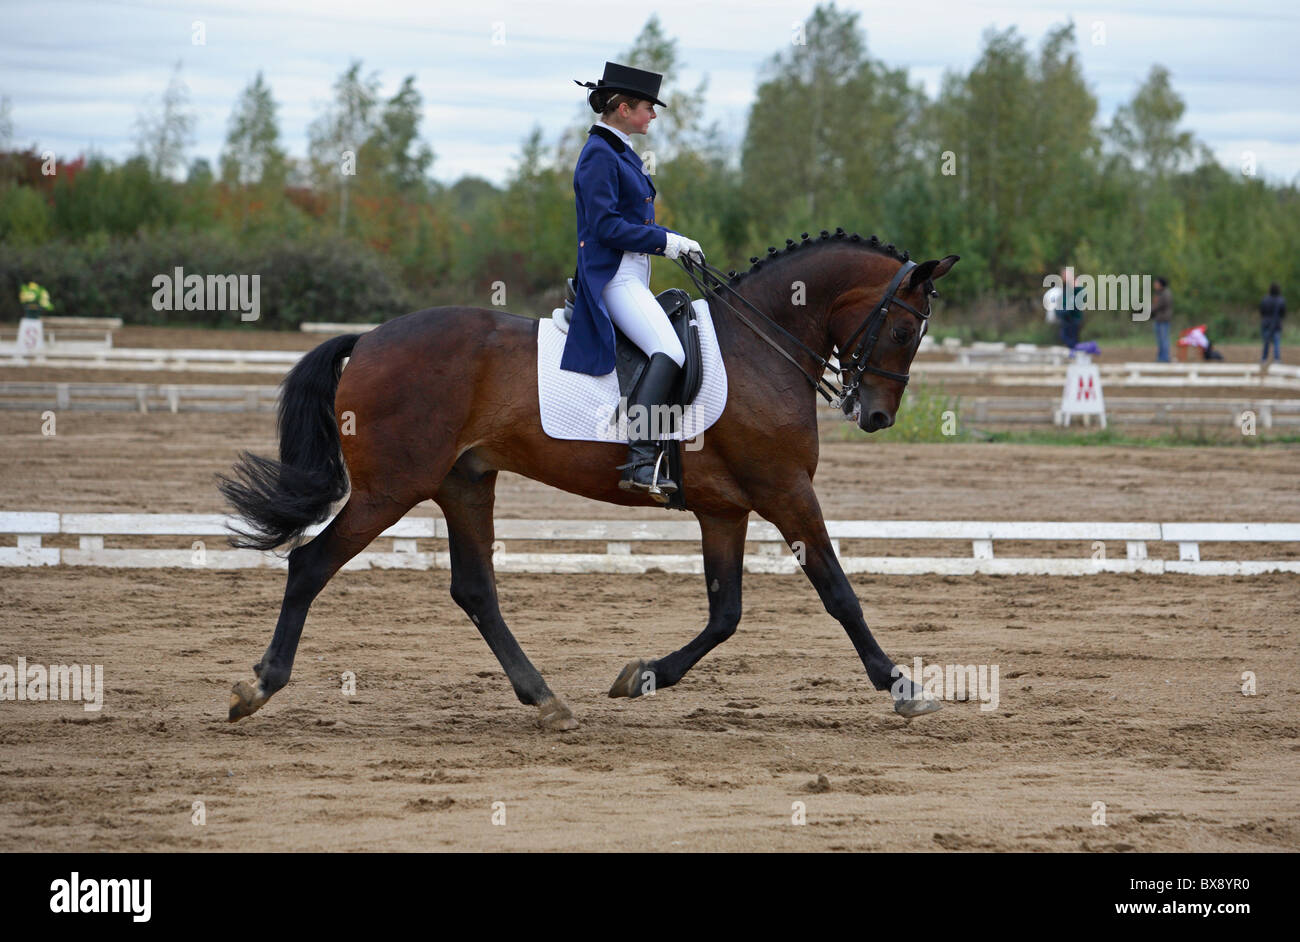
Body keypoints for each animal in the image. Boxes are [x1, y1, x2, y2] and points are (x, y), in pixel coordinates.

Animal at [220, 226, 956, 727]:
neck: (761, 347)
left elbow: (725, 614)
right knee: (311, 565)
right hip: (389, 489)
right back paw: (258, 687)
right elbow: (839, 593)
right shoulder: (786, 493)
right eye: (903, 332)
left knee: (475, 591)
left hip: (464, 482)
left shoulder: (725, 509)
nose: (876, 415)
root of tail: (367, 339)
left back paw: (546, 700)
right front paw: (902, 688)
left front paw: (643, 676)